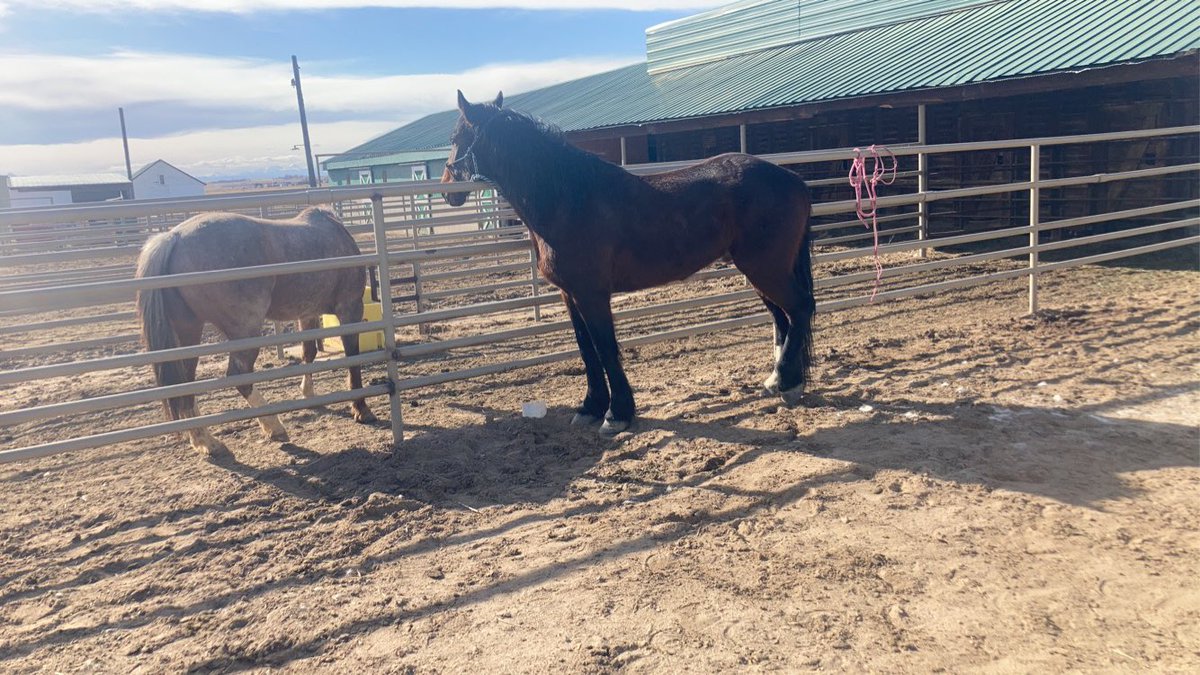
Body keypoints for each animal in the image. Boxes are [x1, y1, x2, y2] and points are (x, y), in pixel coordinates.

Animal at [135, 206, 376, 457]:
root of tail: (173, 237)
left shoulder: (307, 314)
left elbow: (309, 352)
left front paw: (309, 394)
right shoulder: (349, 308)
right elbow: (353, 357)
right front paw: (361, 409)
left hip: (188, 331)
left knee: (185, 384)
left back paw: (206, 442)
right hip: (244, 330)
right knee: (239, 376)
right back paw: (274, 427)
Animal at [442, 91, 815, 436]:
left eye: (456, 138)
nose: (447, 191)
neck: (568, 199)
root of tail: (793, 180)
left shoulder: (592, 294)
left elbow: (605, 349)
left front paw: (616, 413)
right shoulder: (569, 294)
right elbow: (586, 350)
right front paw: (590, 407)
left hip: (766, 269)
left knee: (799, 309)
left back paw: (788, 383)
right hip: (759, 271)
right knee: (783, 317)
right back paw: (778, 379)